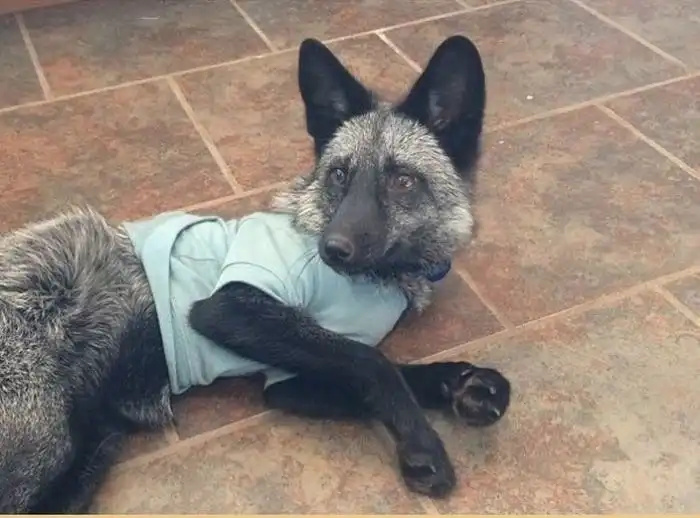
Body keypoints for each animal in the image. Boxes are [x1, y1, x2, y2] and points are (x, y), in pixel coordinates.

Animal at [0, 35, 511, 513]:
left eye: (403, 181)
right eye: (339, 175)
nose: (332, 249)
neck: (382, 278)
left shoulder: (288, 384)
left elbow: (383, 374)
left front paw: (459, 383)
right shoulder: (226, 308)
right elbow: (373, 363)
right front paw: (422, 445)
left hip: (86, 441)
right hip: (49, 440)